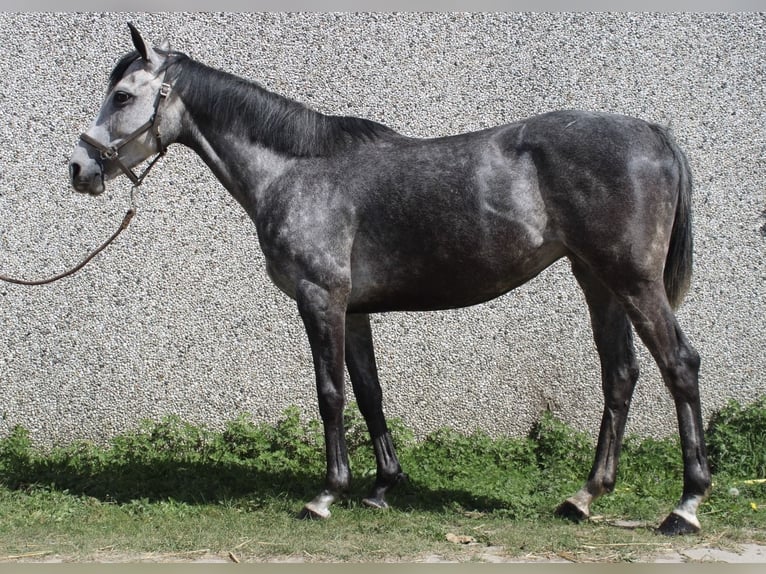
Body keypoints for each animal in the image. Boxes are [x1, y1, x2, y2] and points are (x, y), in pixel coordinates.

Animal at [68, 24, 711, 535]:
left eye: (122, 95)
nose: (79, 169)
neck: (299, 170)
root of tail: (653, 133)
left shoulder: (320, 299)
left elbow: (330, 394)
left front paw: (327, 494)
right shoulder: (353, 309)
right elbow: (369, 391)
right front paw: (382, 486)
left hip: (633, 281)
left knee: (678, 365)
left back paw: (685, 505)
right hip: (598, 280)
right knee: (620, 375)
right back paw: (584, 497)